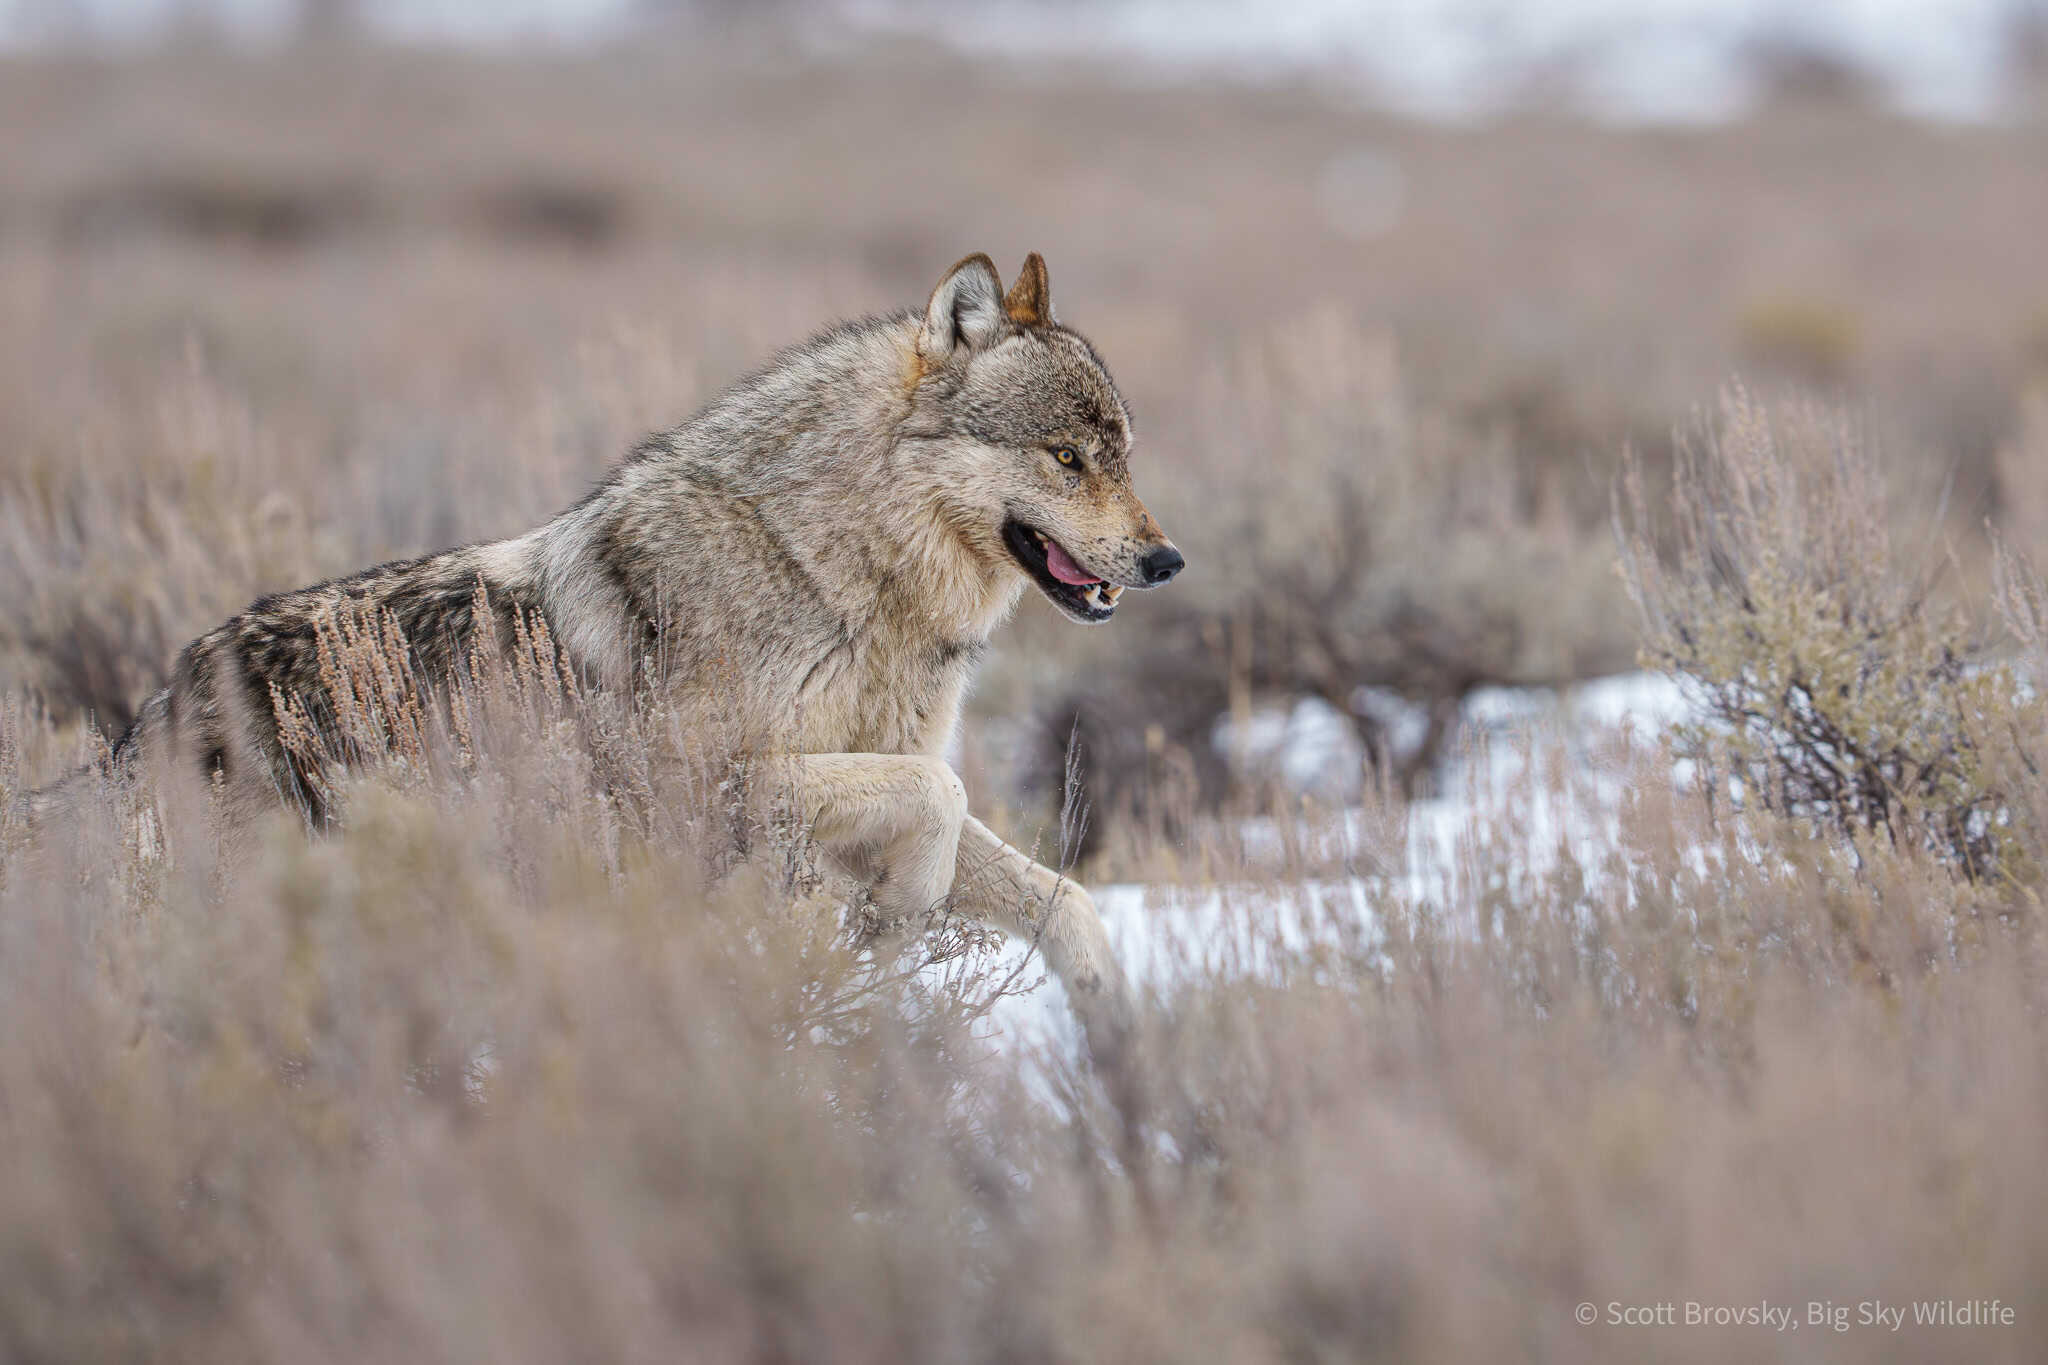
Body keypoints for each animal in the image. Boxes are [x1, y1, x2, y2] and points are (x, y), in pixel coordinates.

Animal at [77, 252, 1183, 1027]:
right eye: (1065, 457)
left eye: (1123, 456)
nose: (1166, 560)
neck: (827, 571)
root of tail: (159, 707)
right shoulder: (706, 778)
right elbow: (941, 798)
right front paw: (892, 918)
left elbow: (1061, 897)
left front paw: (1113, 1041)